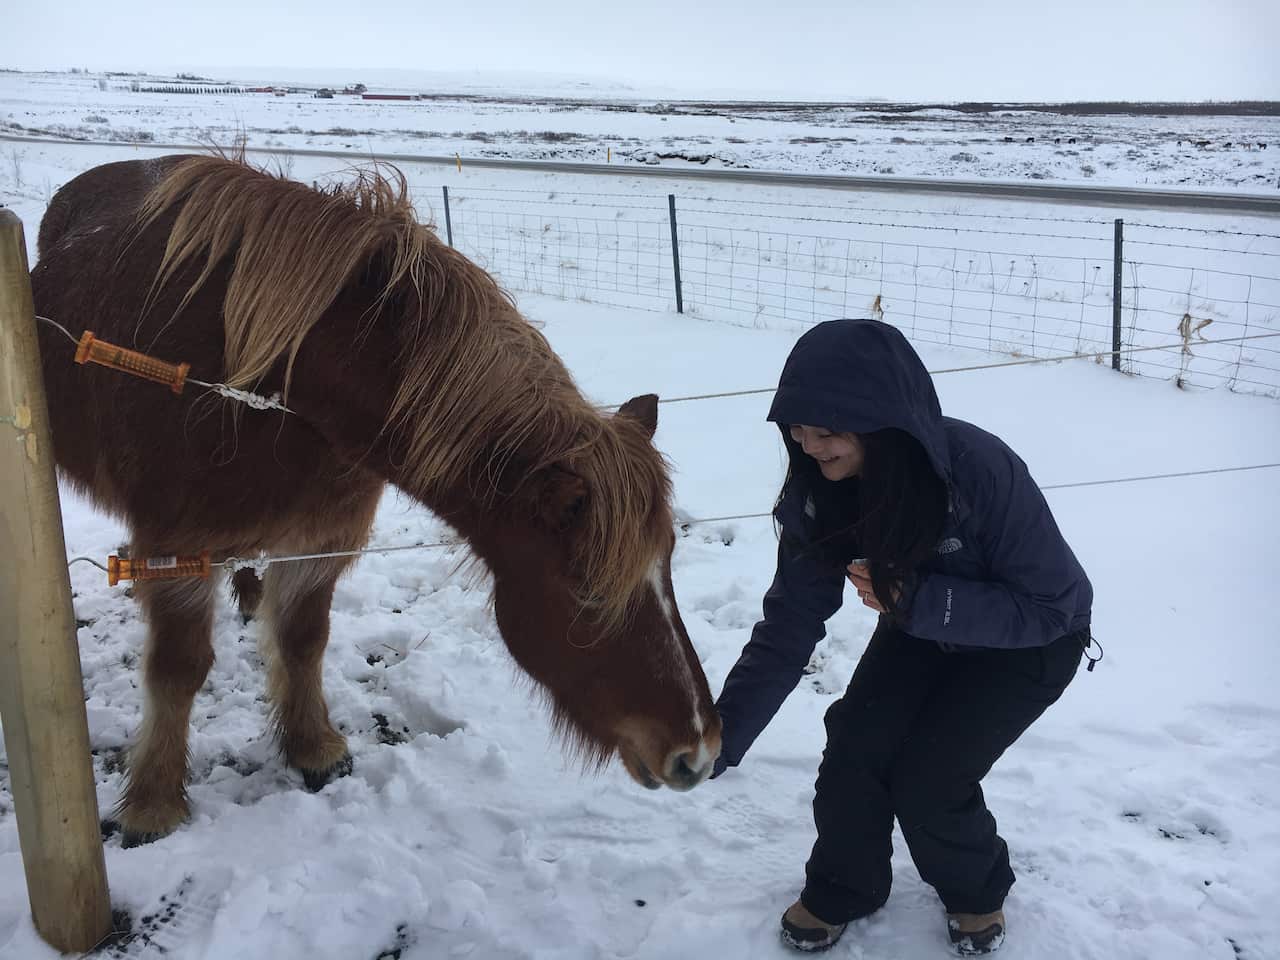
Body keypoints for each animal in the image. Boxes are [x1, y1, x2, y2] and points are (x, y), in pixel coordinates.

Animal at [31, 154, 721, 846]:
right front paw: (152, 804)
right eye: (592, 594)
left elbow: (303, 640)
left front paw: (312, 747)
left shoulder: (321, 540)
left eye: (667, 565)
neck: (272, 383)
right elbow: (177, 670)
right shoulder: (181, 550)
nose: (698, 752)